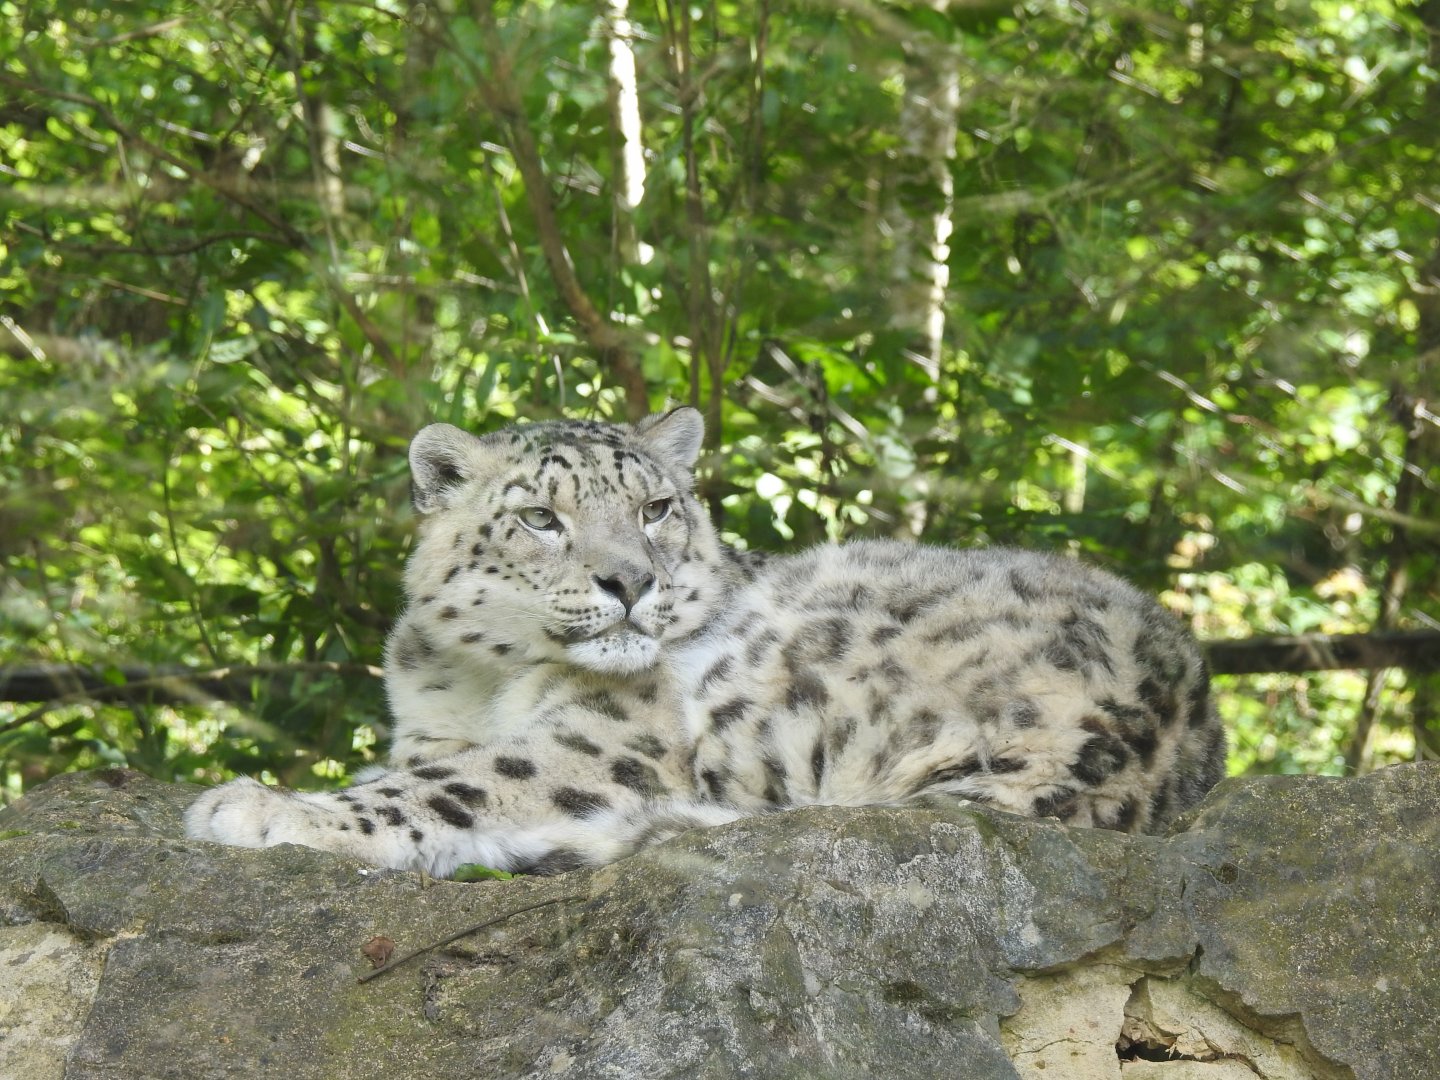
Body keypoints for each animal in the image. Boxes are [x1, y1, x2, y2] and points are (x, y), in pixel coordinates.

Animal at [185, 407, 1227, 877]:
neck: (479, 682)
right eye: (540, 517)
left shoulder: (603, 739)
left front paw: (260, 805)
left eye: (655, 508)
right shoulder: (431, 729)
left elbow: (458, 781)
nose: (630, 583)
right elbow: (415, 767)